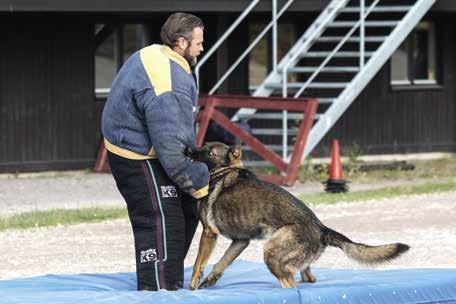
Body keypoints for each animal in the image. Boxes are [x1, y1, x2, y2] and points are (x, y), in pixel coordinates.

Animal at [185, 142, 410, 290]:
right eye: (203, 145)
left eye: (210, 152)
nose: (187, 149)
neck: (225, 170)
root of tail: (321, 228)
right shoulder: (240, 241)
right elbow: (221, 262)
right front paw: (210, 280)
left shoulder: (209, 233)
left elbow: (197, 264)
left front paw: (193, 287)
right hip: (297, 263)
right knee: (308, 279)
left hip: (271, 252)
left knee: (290, 284)